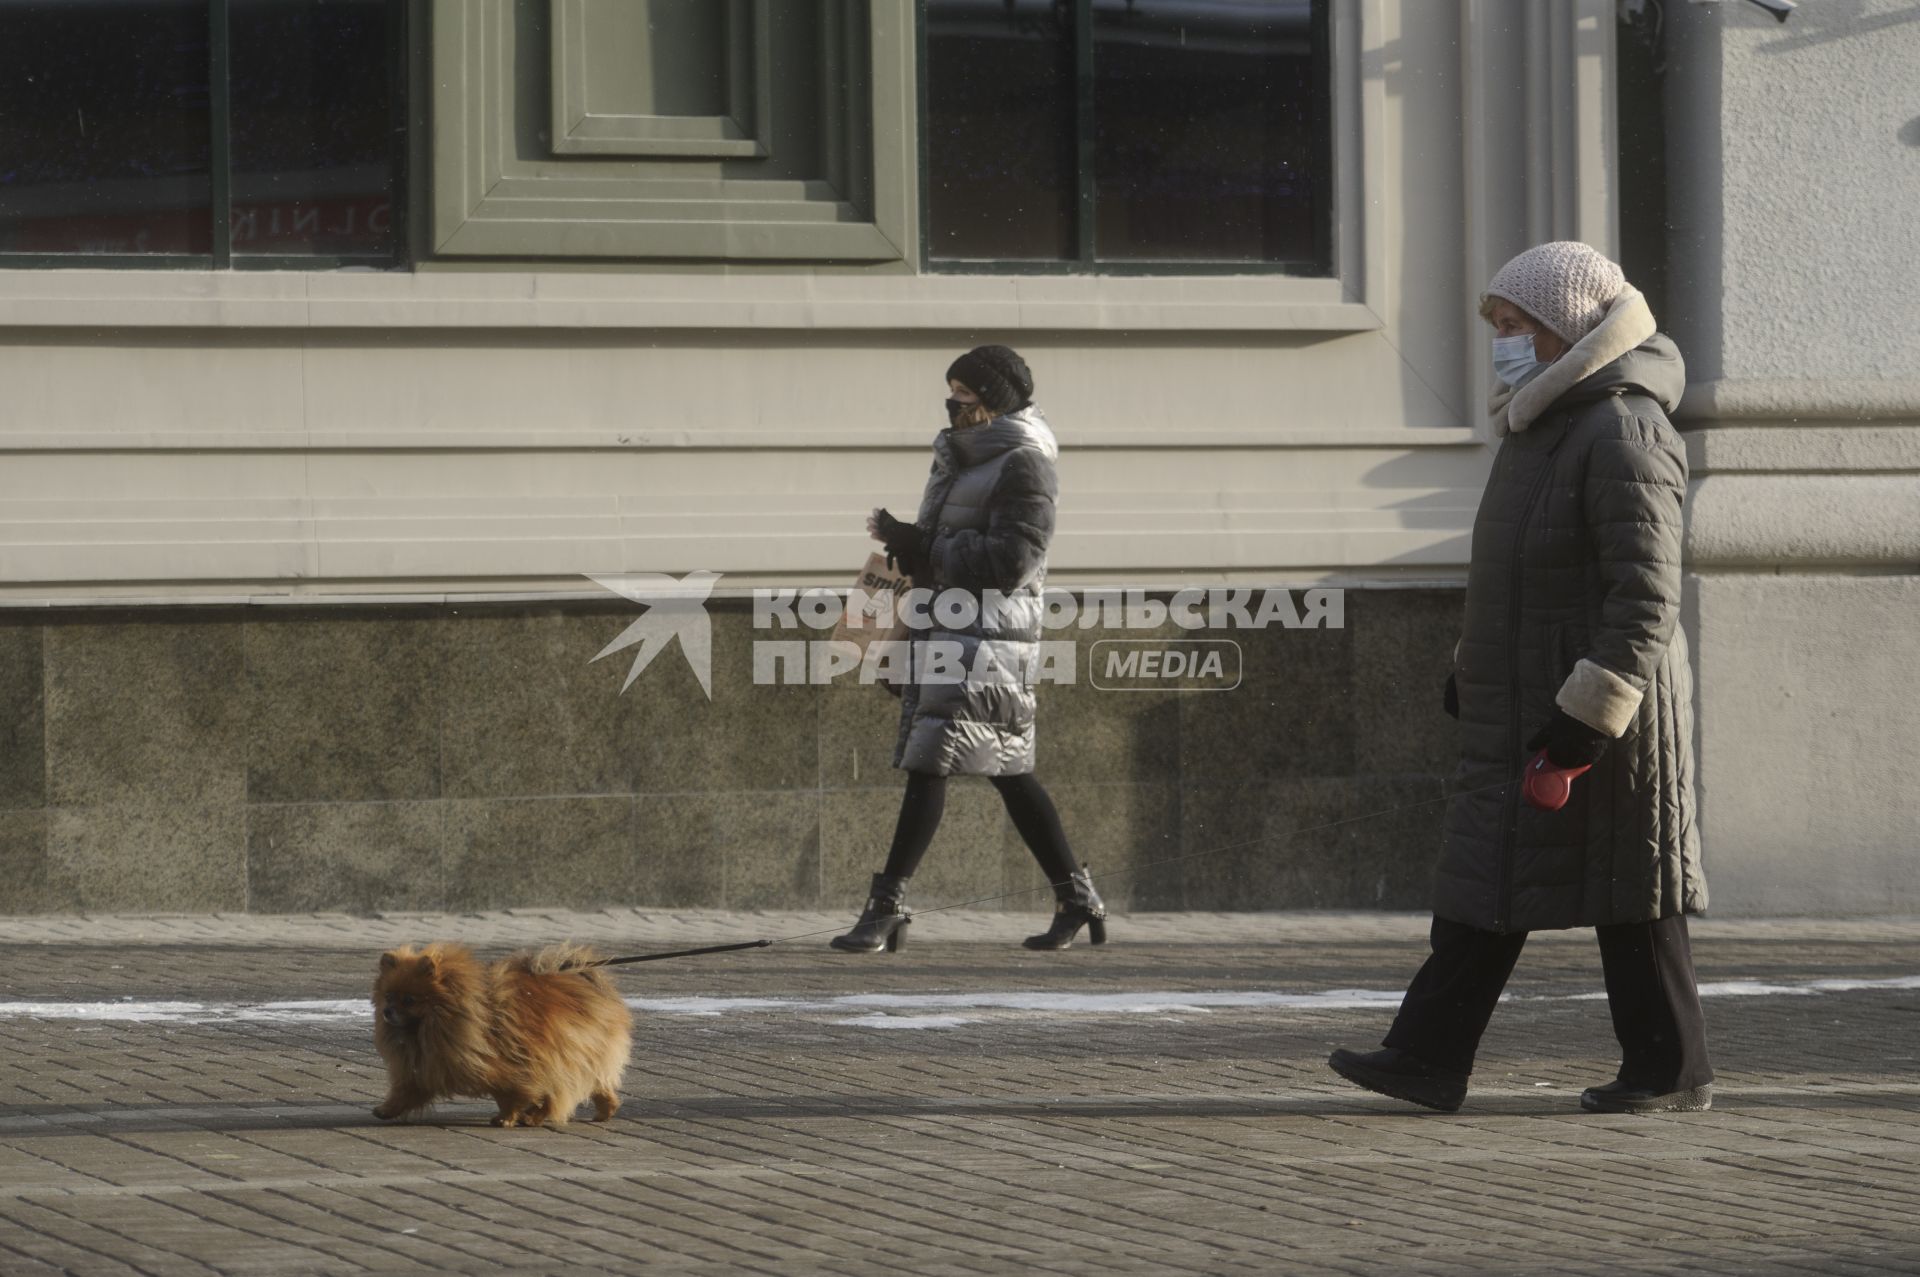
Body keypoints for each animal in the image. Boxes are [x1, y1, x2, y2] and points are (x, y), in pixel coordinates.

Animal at [374, 937, 637, 1129]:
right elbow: (406, 1091)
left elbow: (508, 1094)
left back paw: (533, 1118)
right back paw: (604, 1111)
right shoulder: (427, 1065)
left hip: (563, 1055)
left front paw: (506, 1118)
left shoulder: (505, 1065)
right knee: (598, 1086)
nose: (387, 1011)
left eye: (409, 1000)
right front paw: (386, 1110)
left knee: (558, 1092)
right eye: (388, 996)